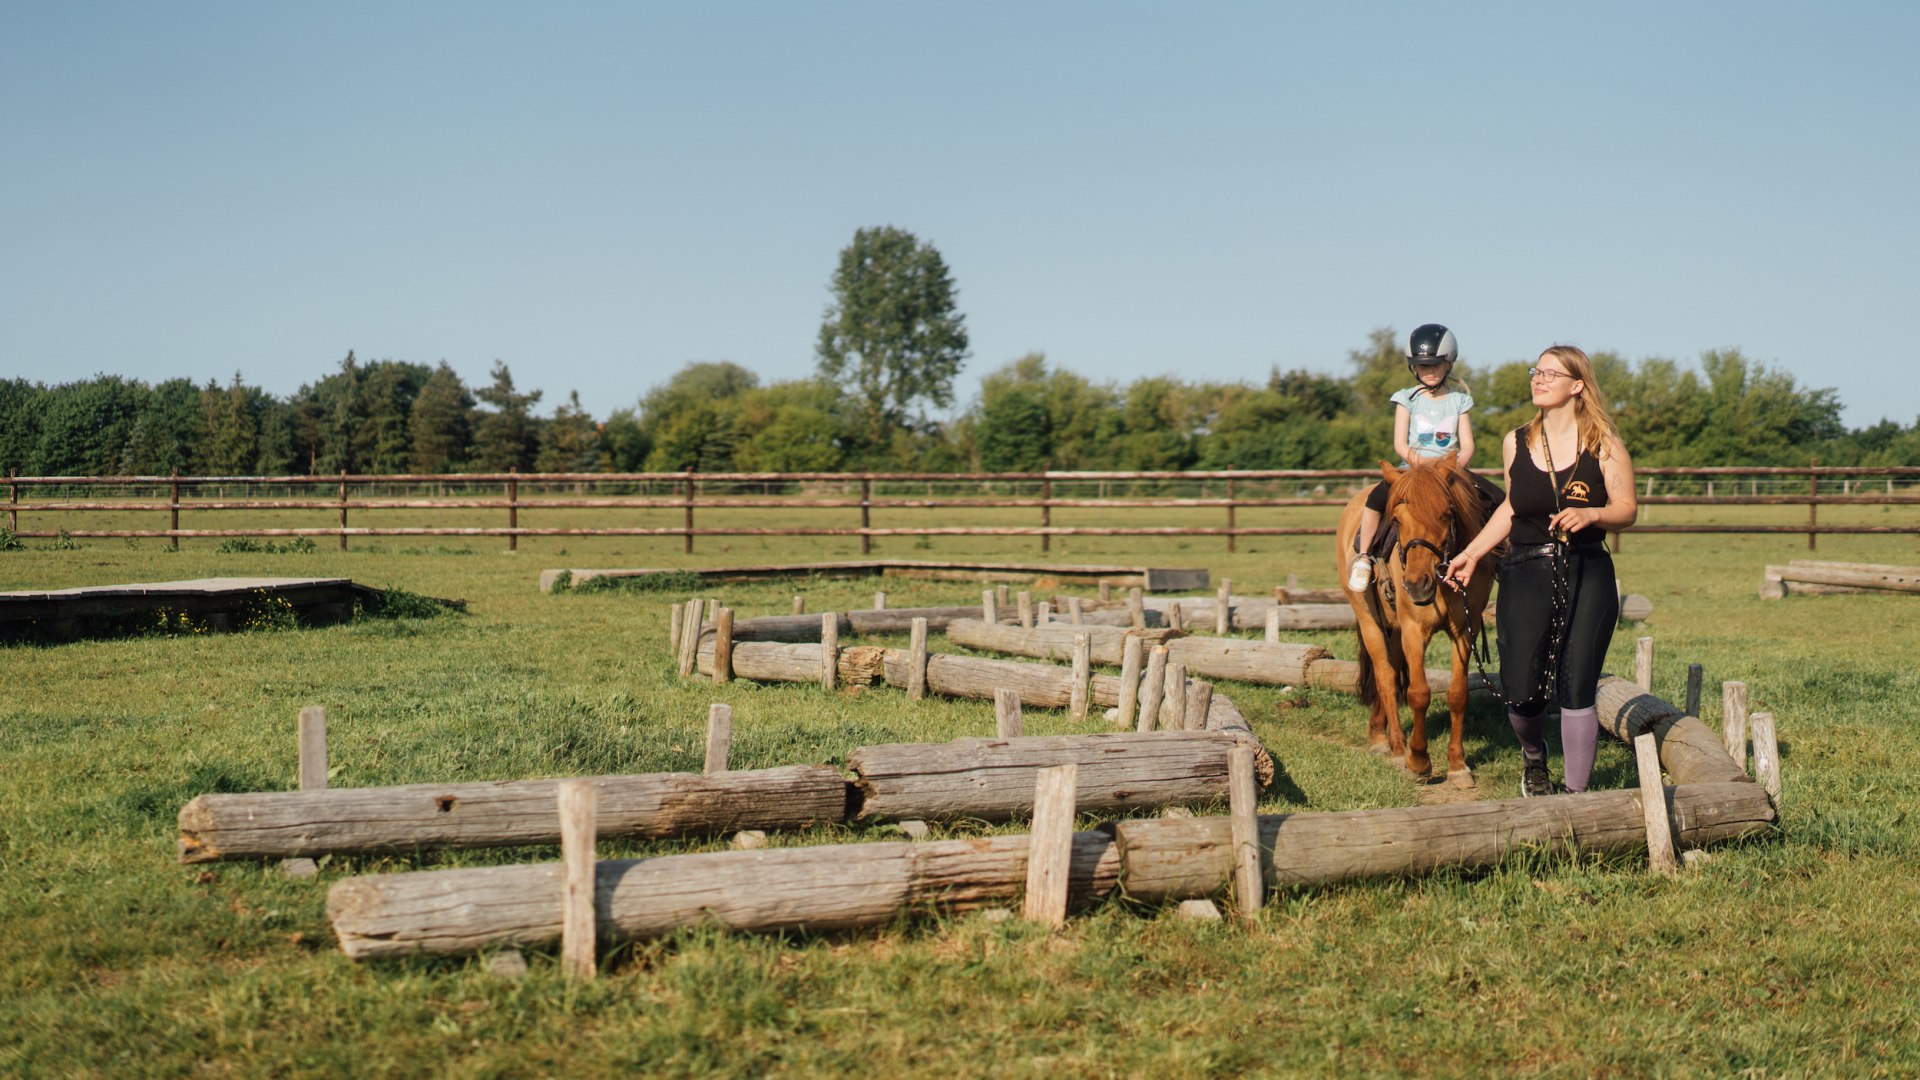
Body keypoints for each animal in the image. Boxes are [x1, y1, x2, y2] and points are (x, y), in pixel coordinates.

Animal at [1336, 449, 1497, 787]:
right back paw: (1396, 747)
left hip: (1395, 629)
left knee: (1392, 669)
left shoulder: (1465, 629)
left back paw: (1378, 731)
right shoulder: (1414, 629)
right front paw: (1419, 761)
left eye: (1447, 513)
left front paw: (1457, 765)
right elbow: (1418, 693)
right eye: (1397, 520)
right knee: (1385, 675)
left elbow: (1457, 694)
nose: (1416, 585)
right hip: (1369, 620)